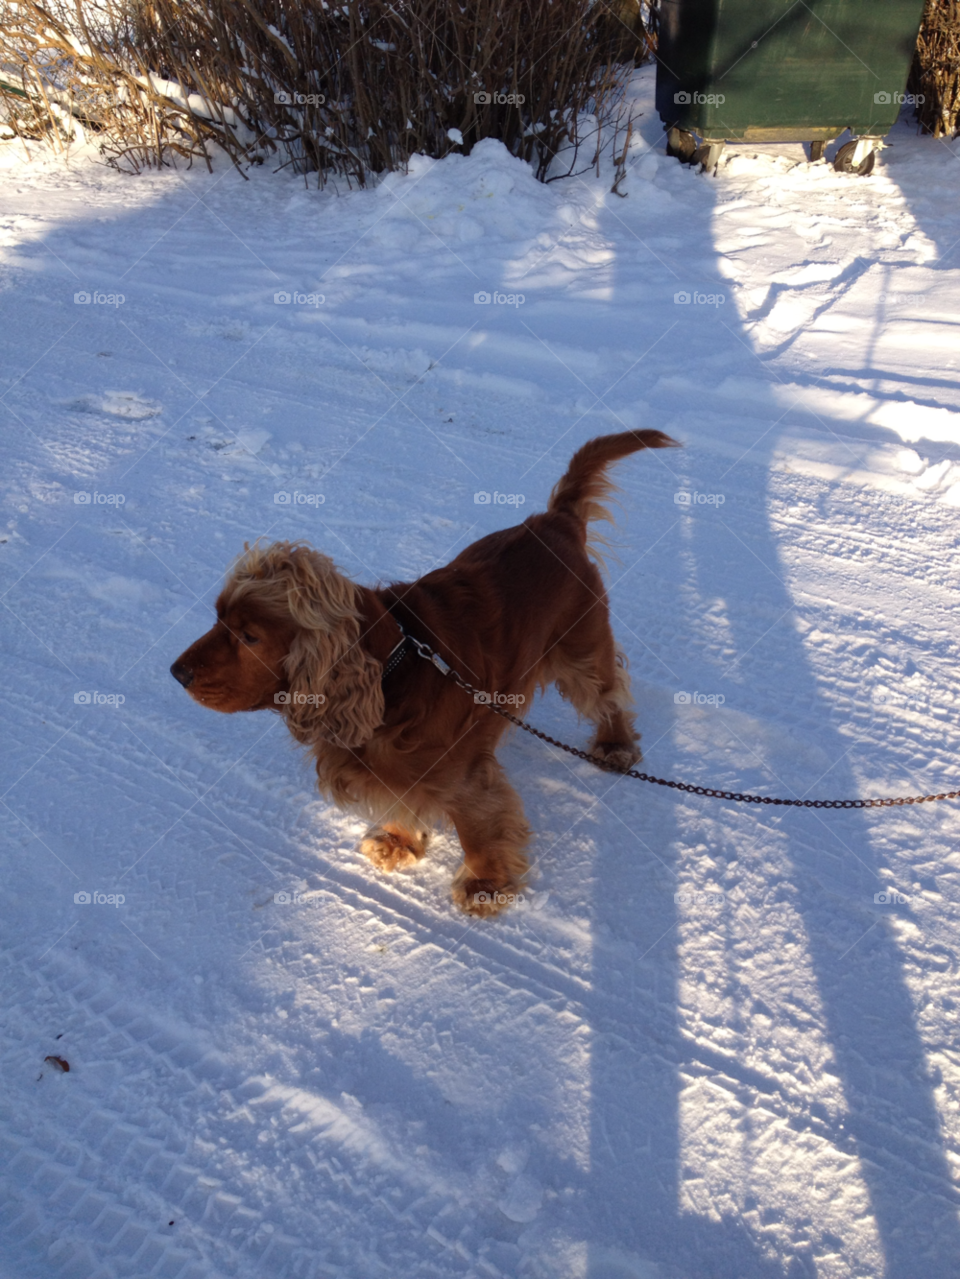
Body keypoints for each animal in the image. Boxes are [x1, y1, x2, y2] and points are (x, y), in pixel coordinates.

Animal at [175, 429, 685, 910]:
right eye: (217, 618)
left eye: (249, 637)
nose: (176, 672)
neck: (391, 669)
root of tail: (554, 520)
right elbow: (405, 798)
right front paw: (398, 842)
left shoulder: (466, 776)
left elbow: (478, 828)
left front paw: (484, 887)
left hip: (582, 649)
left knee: (609, 693)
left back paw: (615, 746)